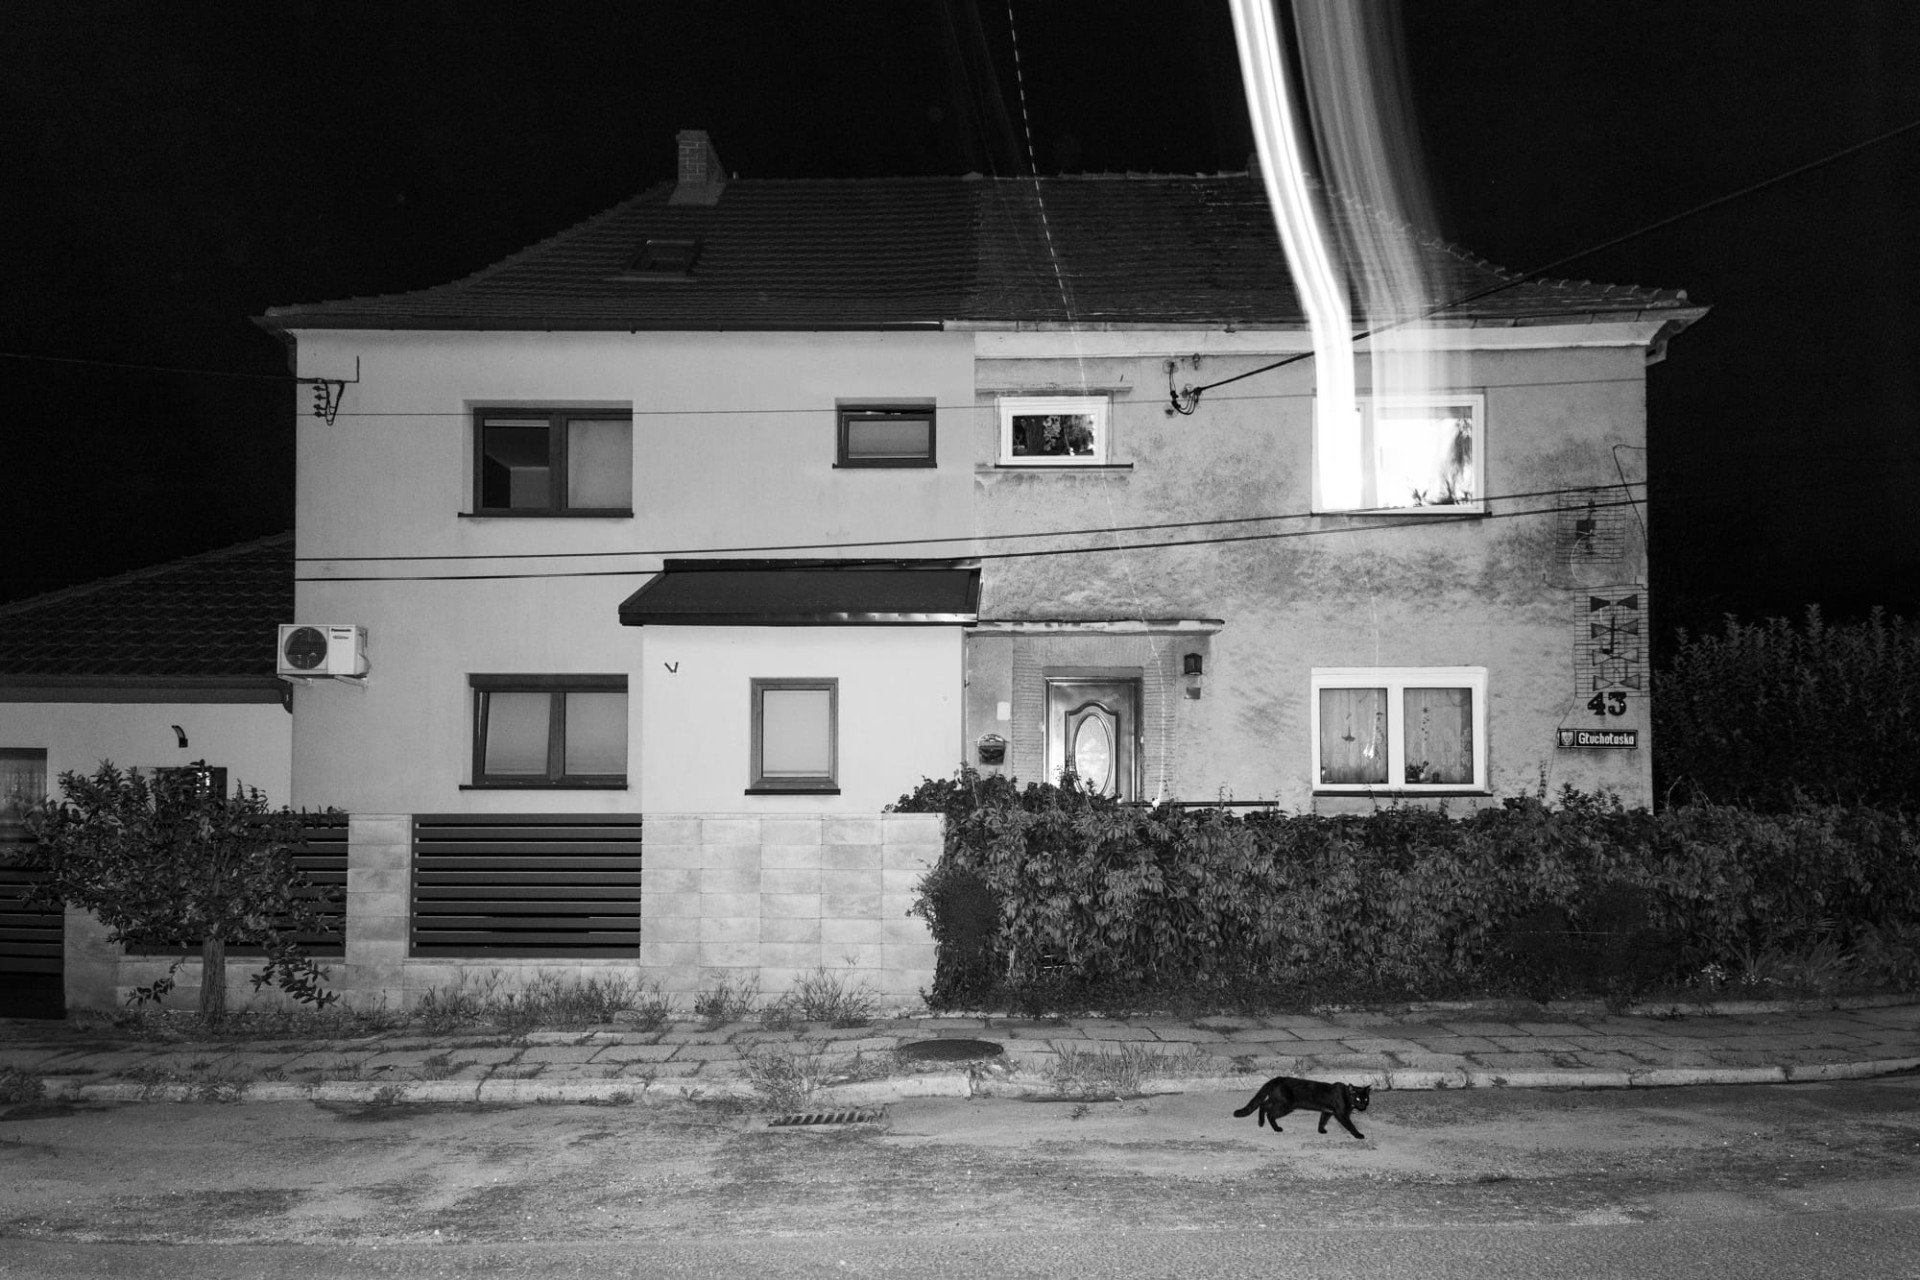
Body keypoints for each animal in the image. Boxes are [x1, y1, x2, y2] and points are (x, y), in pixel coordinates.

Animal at [1233, 1076, 1371, 1140]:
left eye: (1366, 1099)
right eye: (1357, 1099)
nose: (1363, 1106)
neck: (1346, 1095)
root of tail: (1277, 1078)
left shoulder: (1327, 1111)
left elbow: (1322, 1121)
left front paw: (1321, 1131)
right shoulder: (1341, 1114)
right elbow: (1350, 1125)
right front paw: (1358, 1135)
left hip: (1277, 1100)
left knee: (1263, 1105)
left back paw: (1261, 1122)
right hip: (1286, 1104)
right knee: (1269, 1113)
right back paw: (1275, 1128)